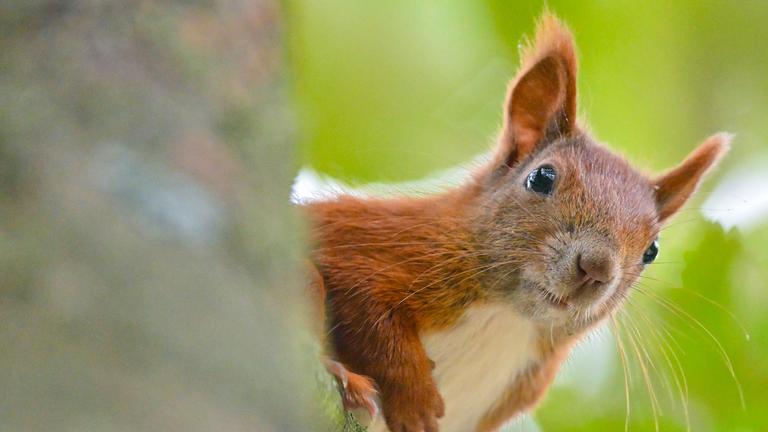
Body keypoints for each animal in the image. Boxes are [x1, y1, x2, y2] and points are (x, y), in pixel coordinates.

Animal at [304, 13, 730, 432]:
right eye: (541, 178)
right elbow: (370, 312)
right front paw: (416, 401)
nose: (596, 268)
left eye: (651, 250)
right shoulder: (372, 241)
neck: (508, 317)